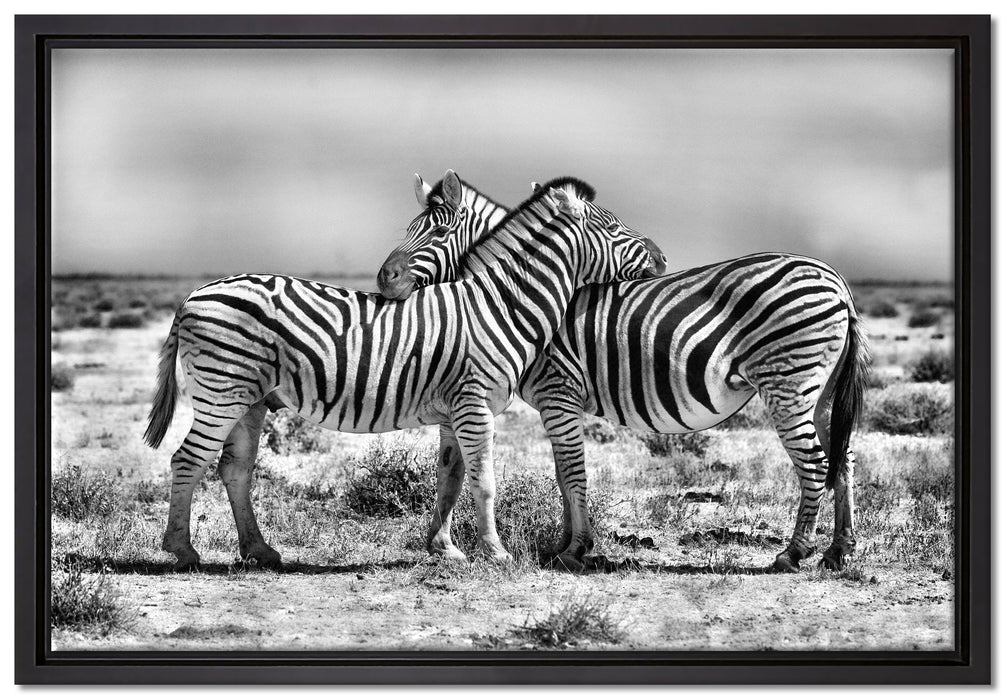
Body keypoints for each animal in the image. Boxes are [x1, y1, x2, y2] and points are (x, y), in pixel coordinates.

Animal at [144, 171, 665, 569]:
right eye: (614, 228)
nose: (662, 258)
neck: (501, 304)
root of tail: (192, 296)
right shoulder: (475, 404)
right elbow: (485, 481)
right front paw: (496, 554)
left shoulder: (456, 411)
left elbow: (451, 479)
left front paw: (446, 550)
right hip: (222, 390)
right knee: (186, 460)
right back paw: (182, 550)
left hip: (249, 398)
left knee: (234, 468)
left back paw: (260, 550)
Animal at [377, 175, 870, 572]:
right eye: (408, 230)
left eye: (438, 232)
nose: (385, 279)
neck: (515, 295)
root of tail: (837, 281)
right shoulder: (559, 402)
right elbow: (562, 474)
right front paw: (563, 545)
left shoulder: (559, 391)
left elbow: (572, 471)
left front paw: (575, 549)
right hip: (819, 389)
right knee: (843, 458)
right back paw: (838, 552)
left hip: (787, 383)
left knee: (815, 463)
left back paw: (794, 553)